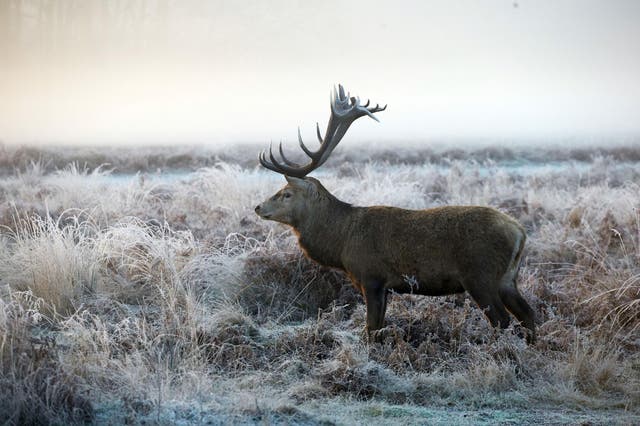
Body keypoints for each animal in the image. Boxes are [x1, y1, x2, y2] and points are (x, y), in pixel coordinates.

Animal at [255, 84, 536, 342]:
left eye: (286, 193)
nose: (258, 207)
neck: (341, 243)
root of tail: (520, 232)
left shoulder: (372, 277)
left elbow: (371, 329)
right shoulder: (385, 286)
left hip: (480, 276)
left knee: (502, 320)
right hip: (507, 278)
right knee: (528, 313)